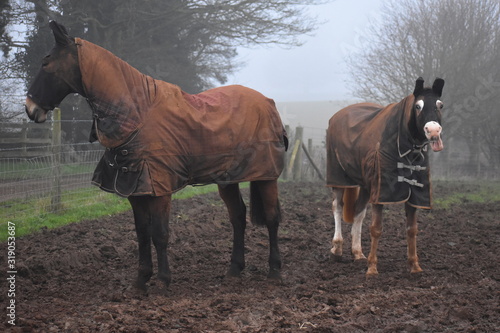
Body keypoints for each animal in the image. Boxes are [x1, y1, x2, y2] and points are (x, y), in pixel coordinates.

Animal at [25, 21, 288, 290]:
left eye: (46, 63)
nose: (29, 108)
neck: (136, 115)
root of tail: (267, 102)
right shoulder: (134, 188)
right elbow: (142, 233)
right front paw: (141, 279)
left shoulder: (159, 188)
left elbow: (160, 233)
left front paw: (162, 280)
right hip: (227, 179)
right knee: (237, 216)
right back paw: (234, 269)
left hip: (267, 176)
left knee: (272, 218)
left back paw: (274, 271)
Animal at [328, 78, 446, 274]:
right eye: (418, 106)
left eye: (440, 105)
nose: (434, 131)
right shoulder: (380, 193)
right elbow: (376, 229)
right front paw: (372, 269)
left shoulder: (412, 195)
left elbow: (412, 229)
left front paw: (415, 266)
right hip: (339, 178)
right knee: (337, 206)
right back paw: (337, 248)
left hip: (366, 185)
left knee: (358, 212)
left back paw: (358, 253)